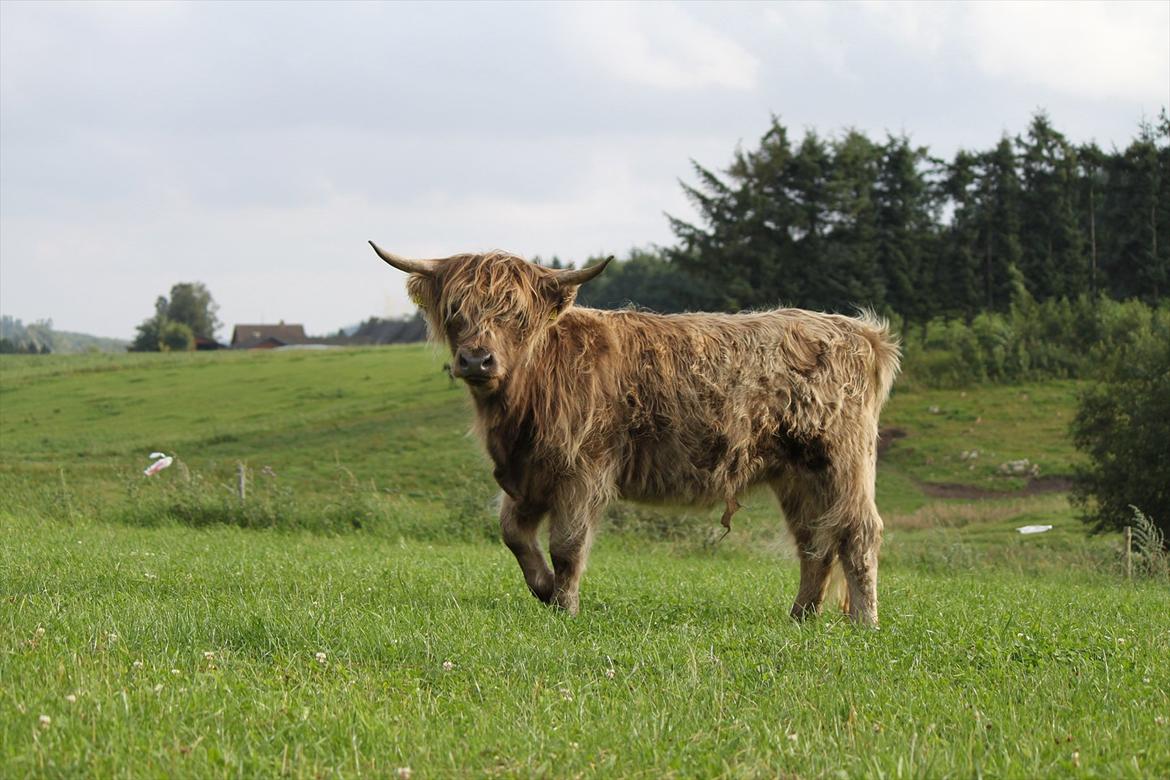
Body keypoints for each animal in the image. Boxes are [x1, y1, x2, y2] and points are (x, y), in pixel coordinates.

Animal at [370, 242, 900, 625]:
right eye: (455, 311)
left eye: (517, 316)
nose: (477, 360)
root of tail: (861, 332)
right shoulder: (529, 474)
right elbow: (513, 535)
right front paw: (542, 588)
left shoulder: (581, 470)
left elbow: (567, 545)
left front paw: (564, 608)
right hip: (797, 474)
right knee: (815, 540)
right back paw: (800, 617)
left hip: (842, 462)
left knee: (858, 532)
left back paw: (864, 623)